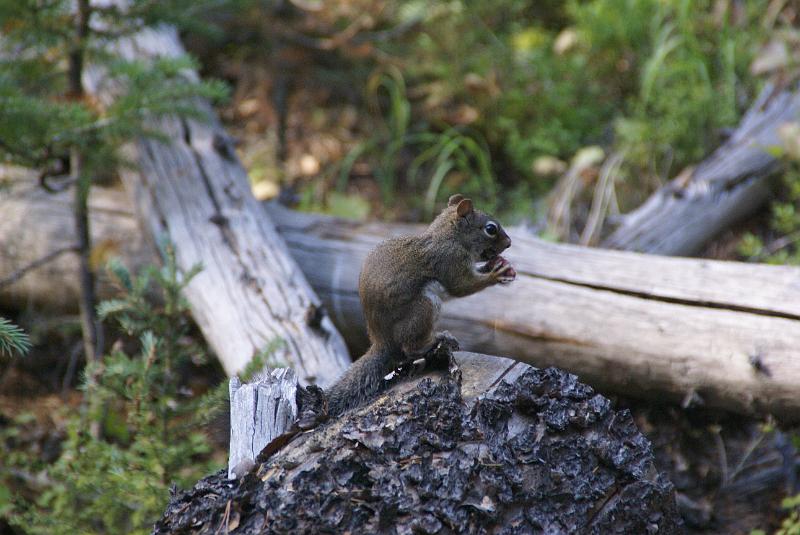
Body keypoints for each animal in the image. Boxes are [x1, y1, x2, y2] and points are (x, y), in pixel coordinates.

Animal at [327, 194, 516, 416]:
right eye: (490, 229)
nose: (509, 242)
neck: (450, 237)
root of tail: (383, 342)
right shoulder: (450, 261)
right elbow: (461, 286)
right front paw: (495, 275)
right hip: (425, 306)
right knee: (411, 347)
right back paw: (438, 338)